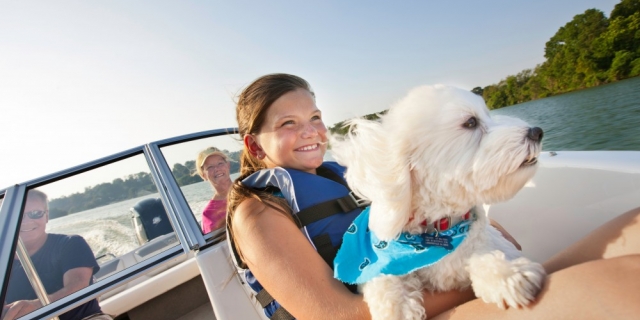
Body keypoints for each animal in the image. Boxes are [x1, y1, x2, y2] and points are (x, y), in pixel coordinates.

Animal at [330, 84, 544, 318]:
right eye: (471, 122)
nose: (537, 132)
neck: (440, 225)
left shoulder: (488, 242)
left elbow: (487, 255)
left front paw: (509, 275)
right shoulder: (376, 263)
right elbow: (381, 280)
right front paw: (397, 310)